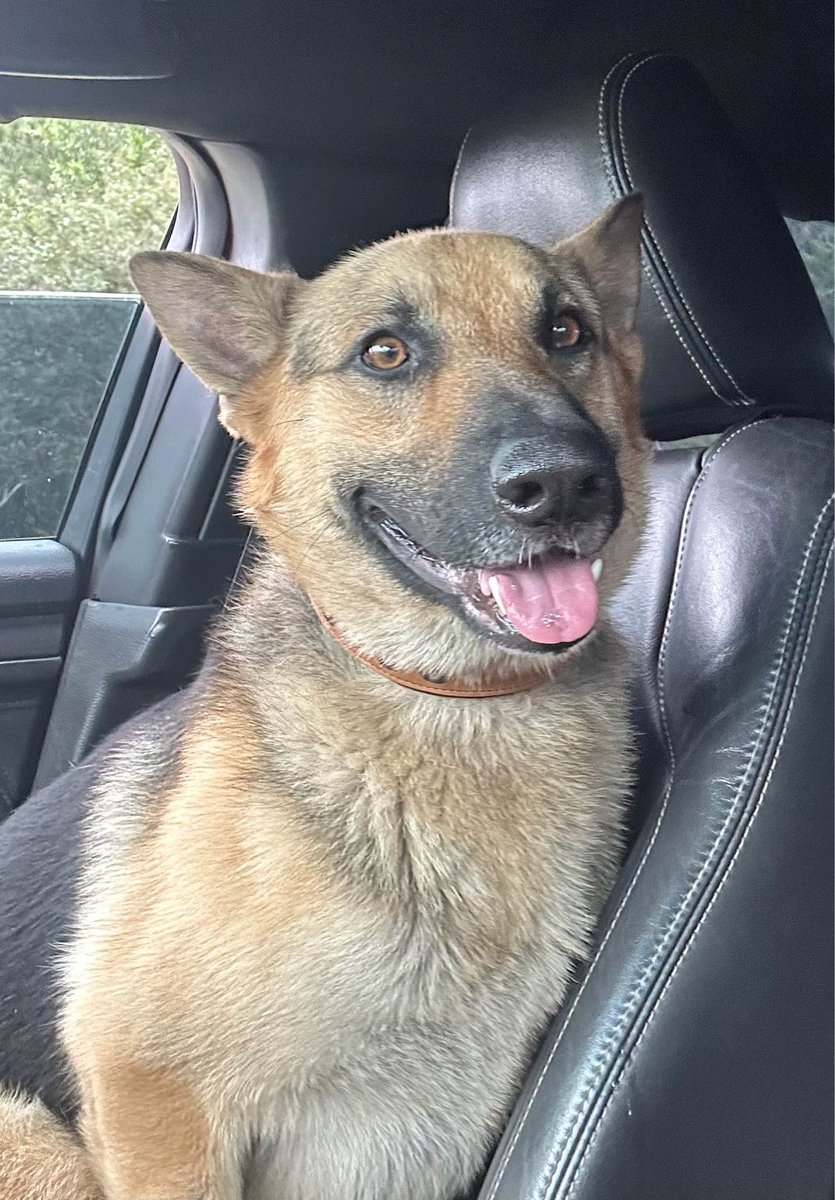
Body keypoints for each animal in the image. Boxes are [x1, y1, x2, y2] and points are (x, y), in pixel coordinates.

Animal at [0, 192, 647, 1195]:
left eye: (565, 331)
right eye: (384, 352)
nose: (565, 482)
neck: (449, 705)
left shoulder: (423, 1131)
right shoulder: (156, 1096)